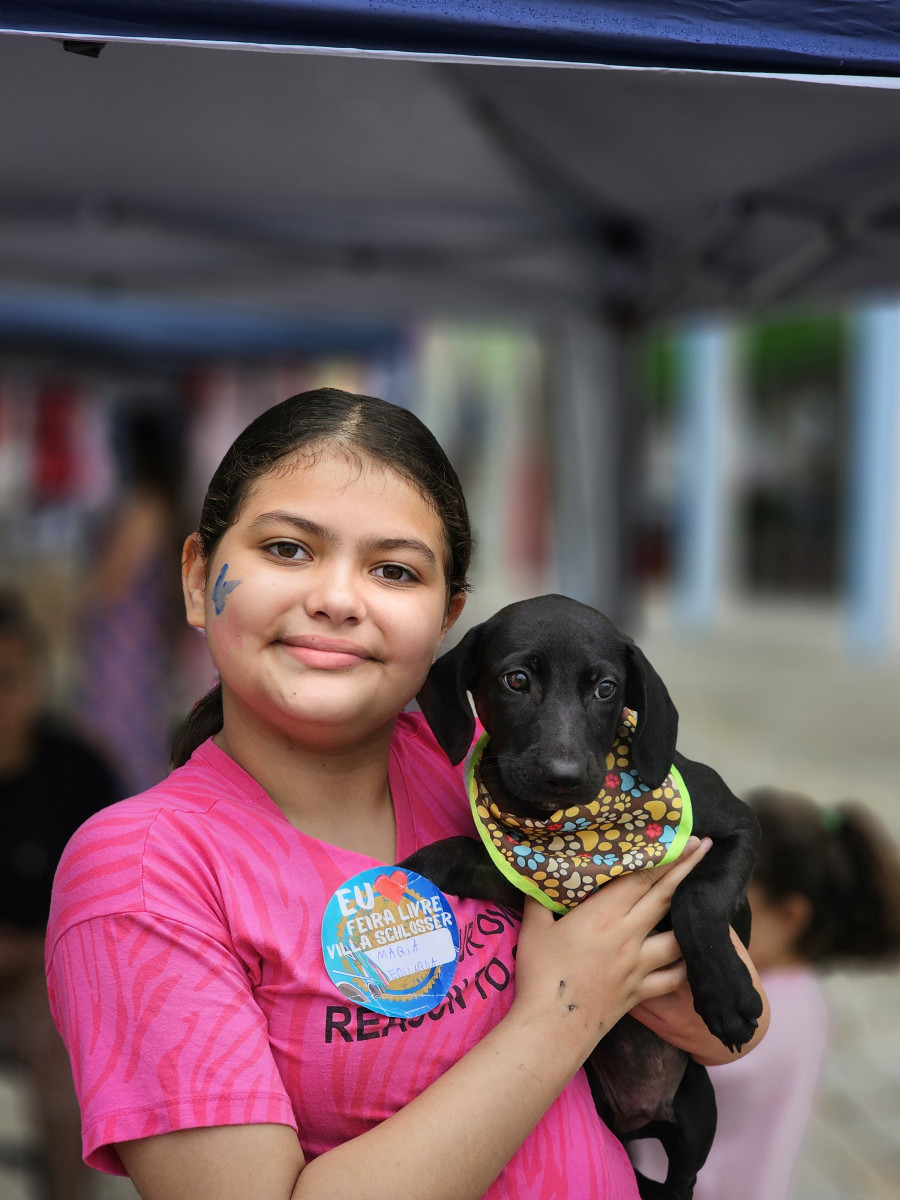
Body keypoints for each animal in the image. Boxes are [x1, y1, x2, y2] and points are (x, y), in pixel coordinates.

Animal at [405, 592, 763, 1200]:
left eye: (605, 689)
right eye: (517, 680)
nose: (564, 777)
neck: (574, 829)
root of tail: (641, 1115)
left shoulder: (738, 828)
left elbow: (697, 896)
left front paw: (728, 996)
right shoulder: (530, 878)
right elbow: (465, 852)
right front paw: (407, 870)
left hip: (698, 1108)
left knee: (683, 1179)